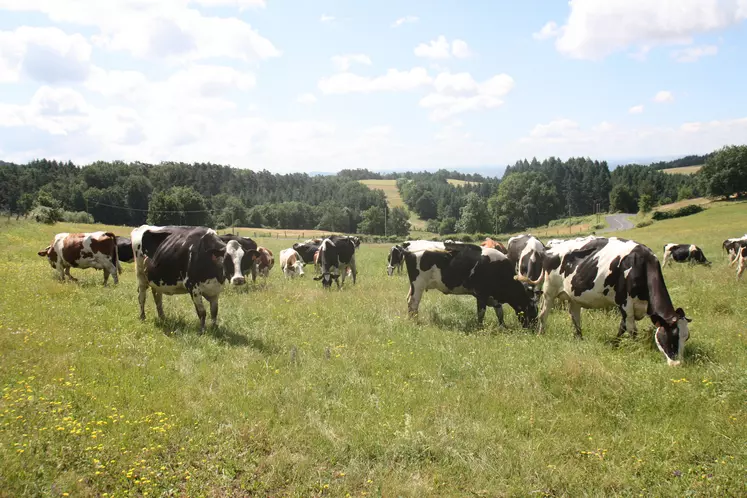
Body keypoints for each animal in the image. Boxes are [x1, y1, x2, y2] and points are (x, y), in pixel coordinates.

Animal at [404, 240, 544, 328]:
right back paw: (415, 322)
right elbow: (481, 313)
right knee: (413, 304)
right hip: (418, 285)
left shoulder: (494, 297)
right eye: (531, 309)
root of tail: (409, 245)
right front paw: (480, 328)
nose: (534, 328)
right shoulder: (481, 294)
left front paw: (503, 326)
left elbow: (500, 312)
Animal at [516, 235, 692, 368]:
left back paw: (579, 338)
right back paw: (541, 334)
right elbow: (631, 329)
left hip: (573, 295)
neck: (641, 265)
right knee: (543, 314)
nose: (678, 364)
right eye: (672, 336)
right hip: (549, 291)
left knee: (575, 316)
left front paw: (615, 343)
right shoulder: (625, 303)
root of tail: (549, 249)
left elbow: (622, 326)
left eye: (686, 337)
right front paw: (635, 347)